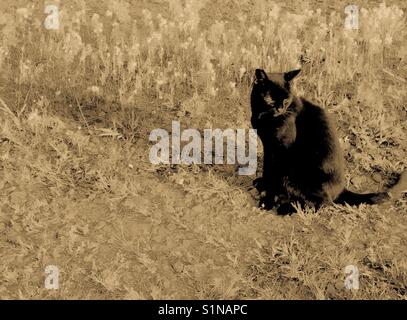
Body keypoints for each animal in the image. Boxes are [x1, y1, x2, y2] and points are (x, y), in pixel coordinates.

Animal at [250, 68, 406, 214]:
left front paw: (267, 201)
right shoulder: (268, 146)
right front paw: (263, 185)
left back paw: (287, 209)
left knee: (322, 202)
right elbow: (267, 169)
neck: (263, 117)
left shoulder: (281, 150)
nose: (281, 109)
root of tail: (341, 188)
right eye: (271, 99)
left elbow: (274, 176)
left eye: (286, 100)